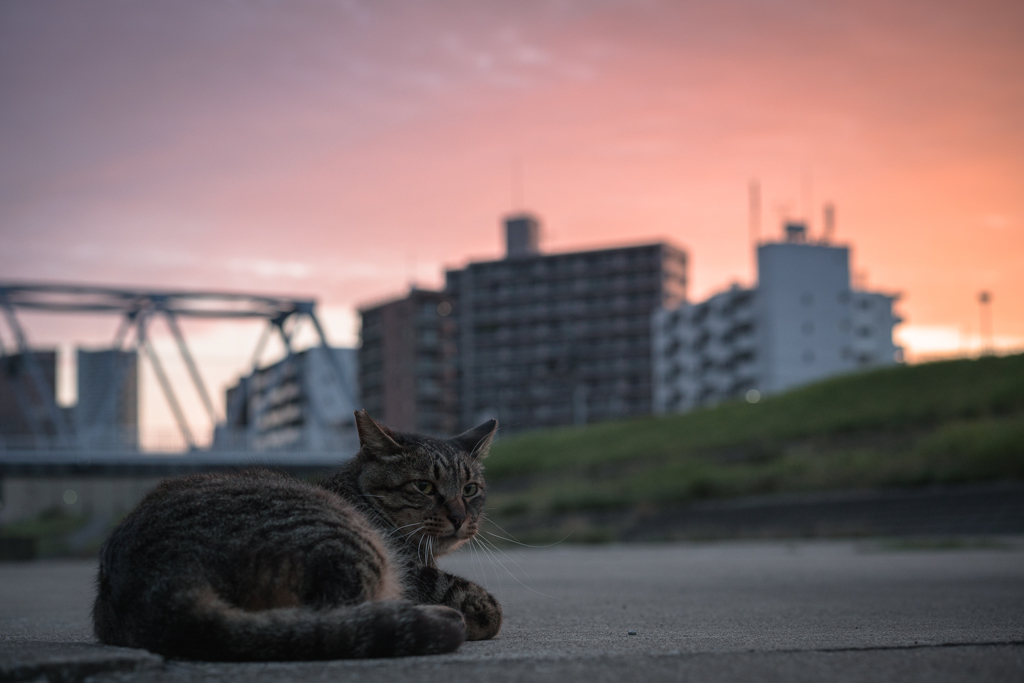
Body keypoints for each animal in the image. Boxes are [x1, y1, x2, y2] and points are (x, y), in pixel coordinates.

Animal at [94, 409, 501, 659]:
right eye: (423, 486)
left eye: (470, 489)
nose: (459, 518)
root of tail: (160, 580)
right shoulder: (412, 570)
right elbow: (488, 605)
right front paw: (476, 612)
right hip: (350, 544)